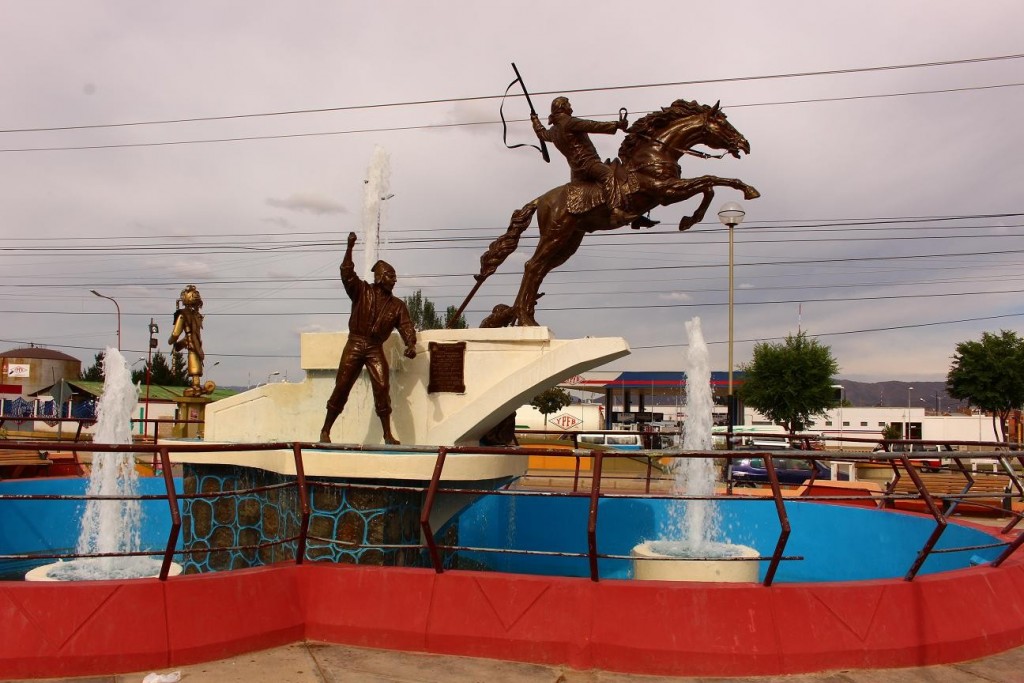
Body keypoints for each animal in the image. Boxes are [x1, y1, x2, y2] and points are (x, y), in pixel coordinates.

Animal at [475, 98, 757, 327]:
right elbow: (710, 180)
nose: (745, 144)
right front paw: (744, 192)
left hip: (570, 241)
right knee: (532, 266)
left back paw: (525, 317)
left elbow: (709, 185)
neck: (655, 153)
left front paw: (690, 219)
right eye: (724, 124)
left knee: (541, 270)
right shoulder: (666, 191)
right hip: (556, 233)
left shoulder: (669, 191)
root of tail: (541, 199)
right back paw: (524, 319)